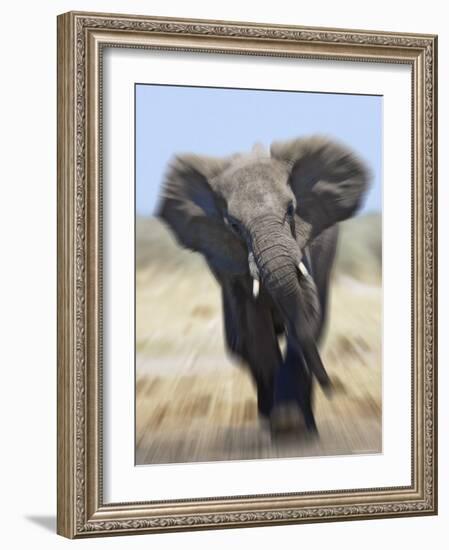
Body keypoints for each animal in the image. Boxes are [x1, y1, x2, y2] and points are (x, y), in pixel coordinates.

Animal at [157, 137, 368, 436]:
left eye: (291, 210)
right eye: (234, 225)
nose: (333, 390)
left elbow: (306, 317)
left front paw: (292, 424)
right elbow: (255, 331)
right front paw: (284, 423)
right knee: (239, 344)